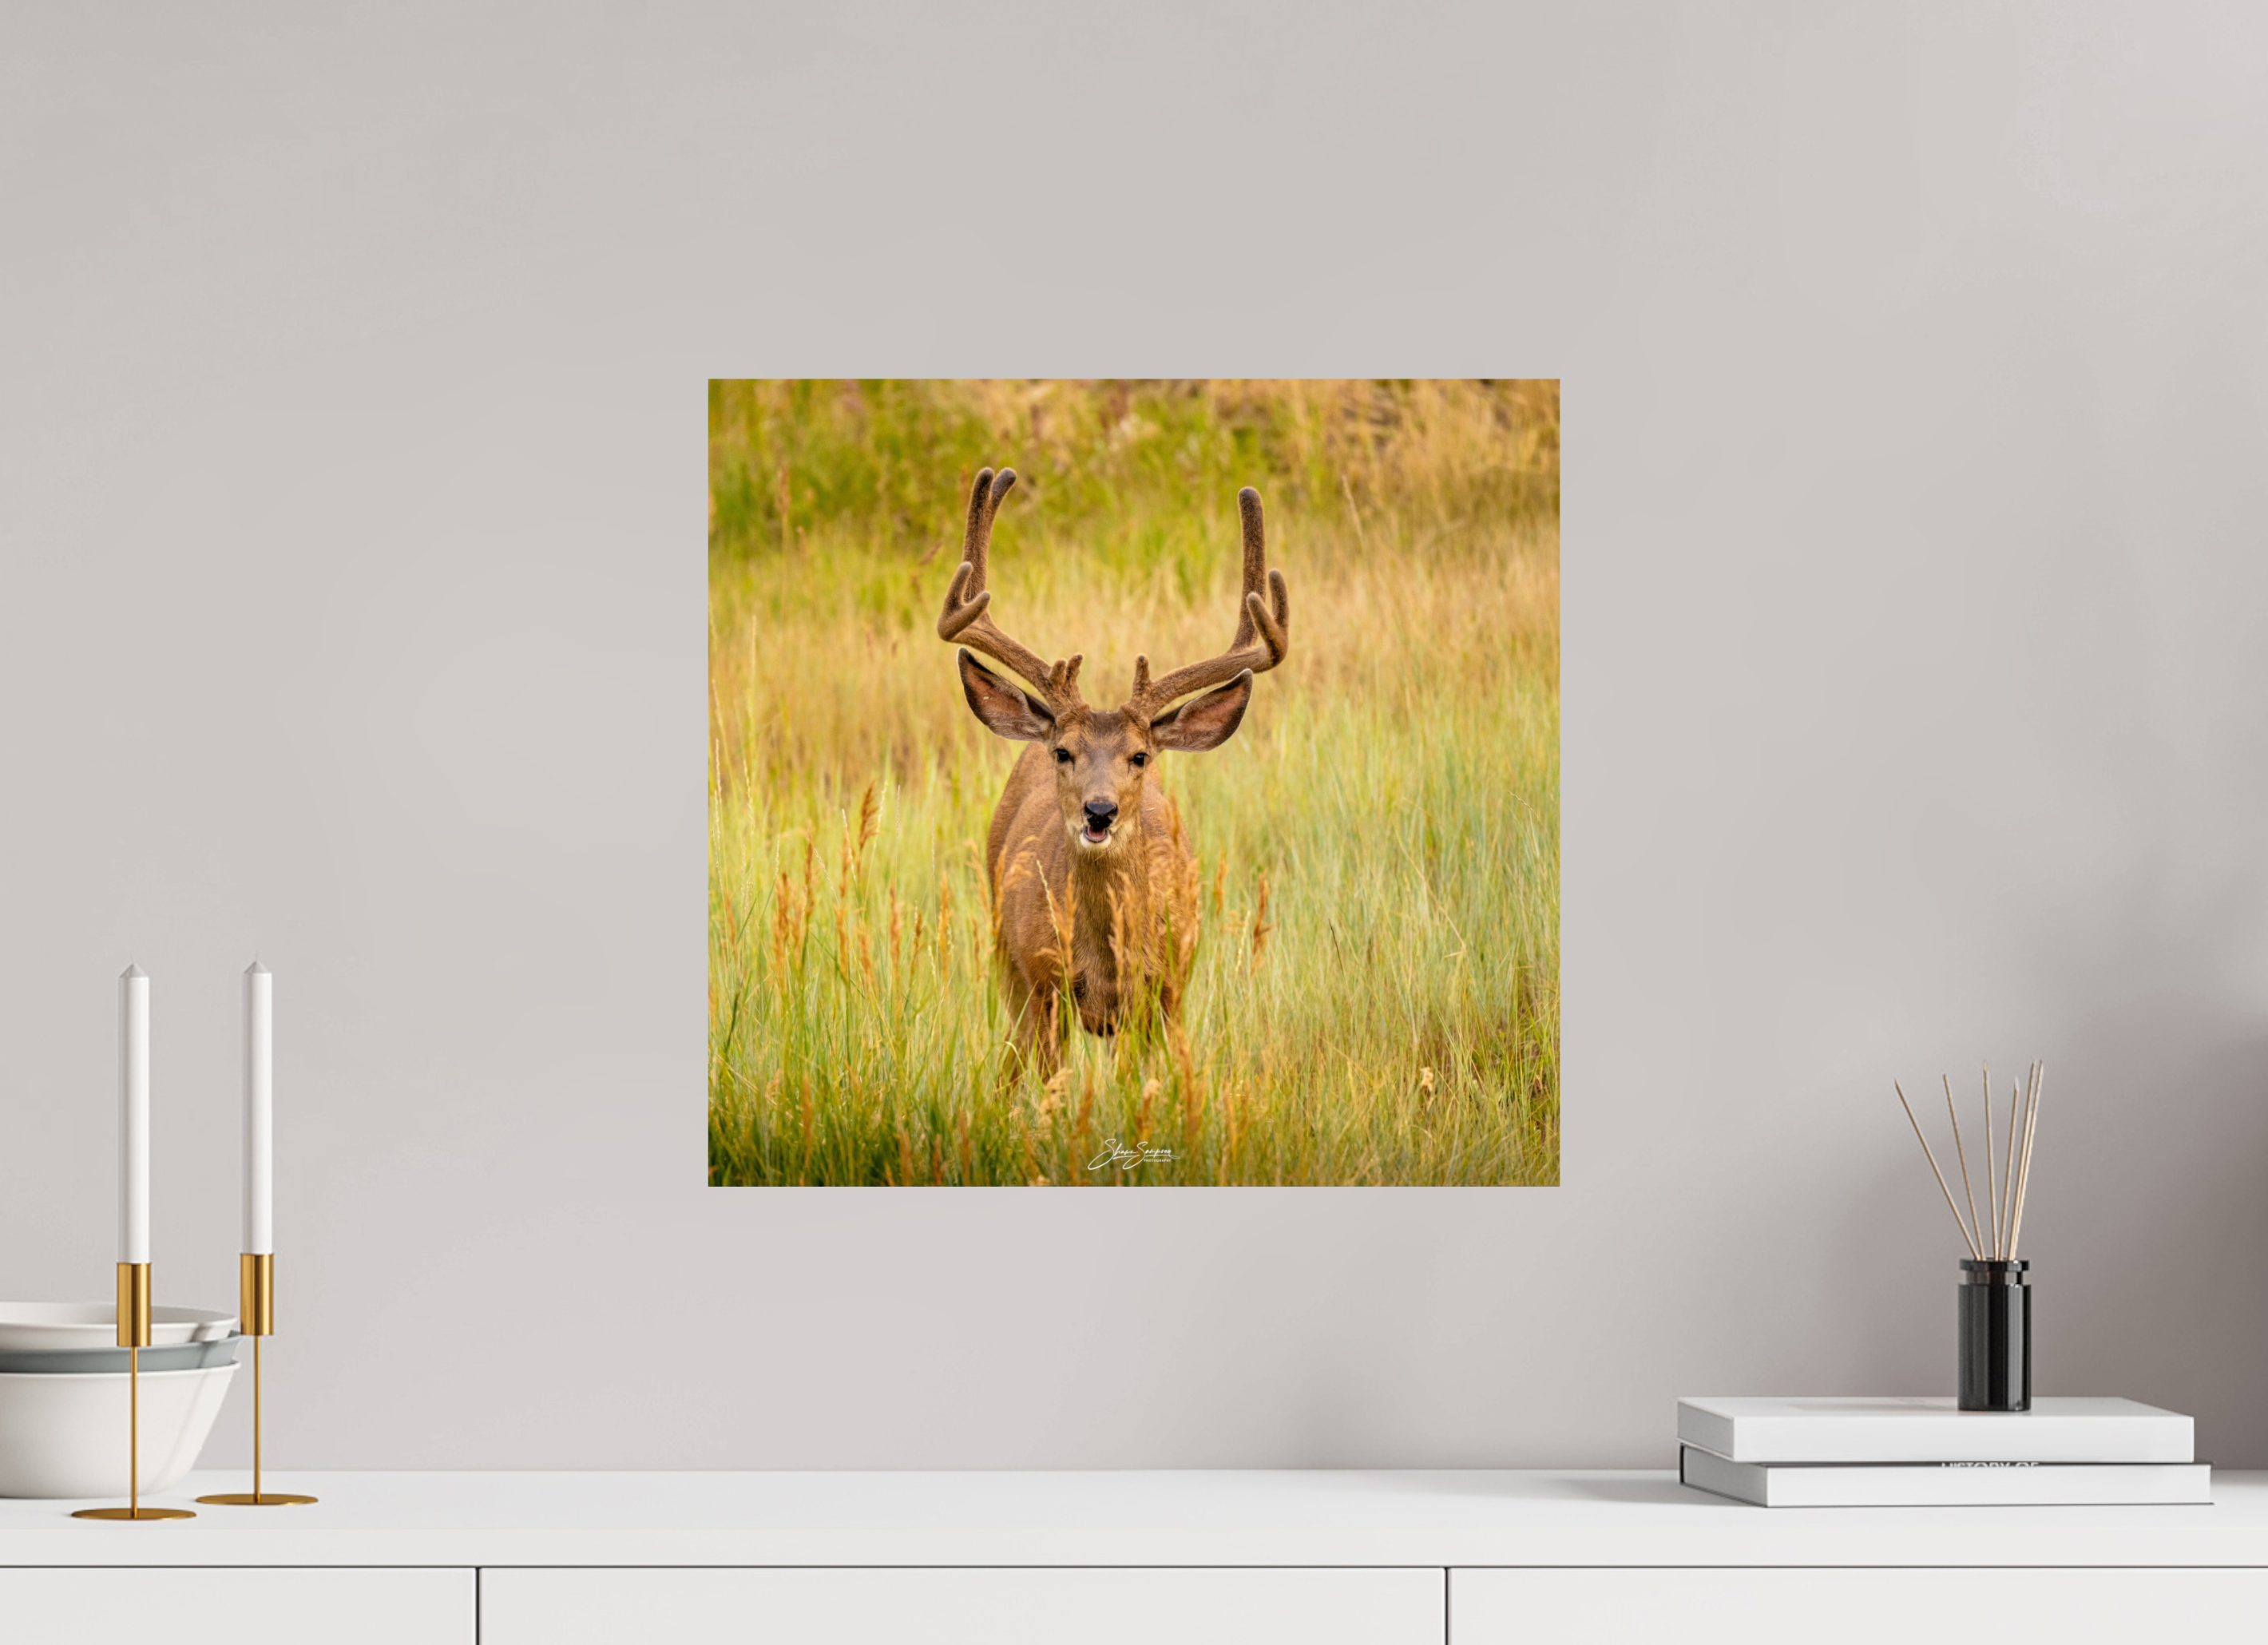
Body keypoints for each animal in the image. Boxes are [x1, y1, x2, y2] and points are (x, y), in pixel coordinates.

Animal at [938, 466, 1291, 1074]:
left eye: (1140, 756)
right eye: (1064, 752)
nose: (1098, 811)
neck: (1105, 962)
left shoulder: (1168, 992)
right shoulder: (1043, 987)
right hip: (1005, 959)